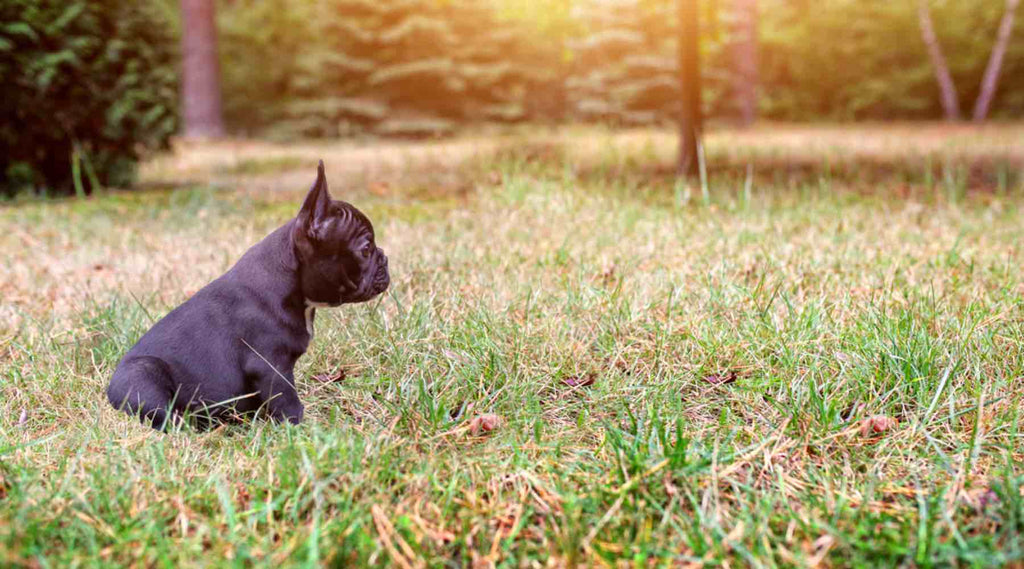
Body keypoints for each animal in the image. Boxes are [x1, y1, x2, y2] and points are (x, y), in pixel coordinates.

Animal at [107, 162, 387, 429]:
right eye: (365, 249)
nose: (384, 257)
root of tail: (109, 393)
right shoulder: (270, 365)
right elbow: (287, 399)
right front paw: (298, 427)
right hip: (143, 374)